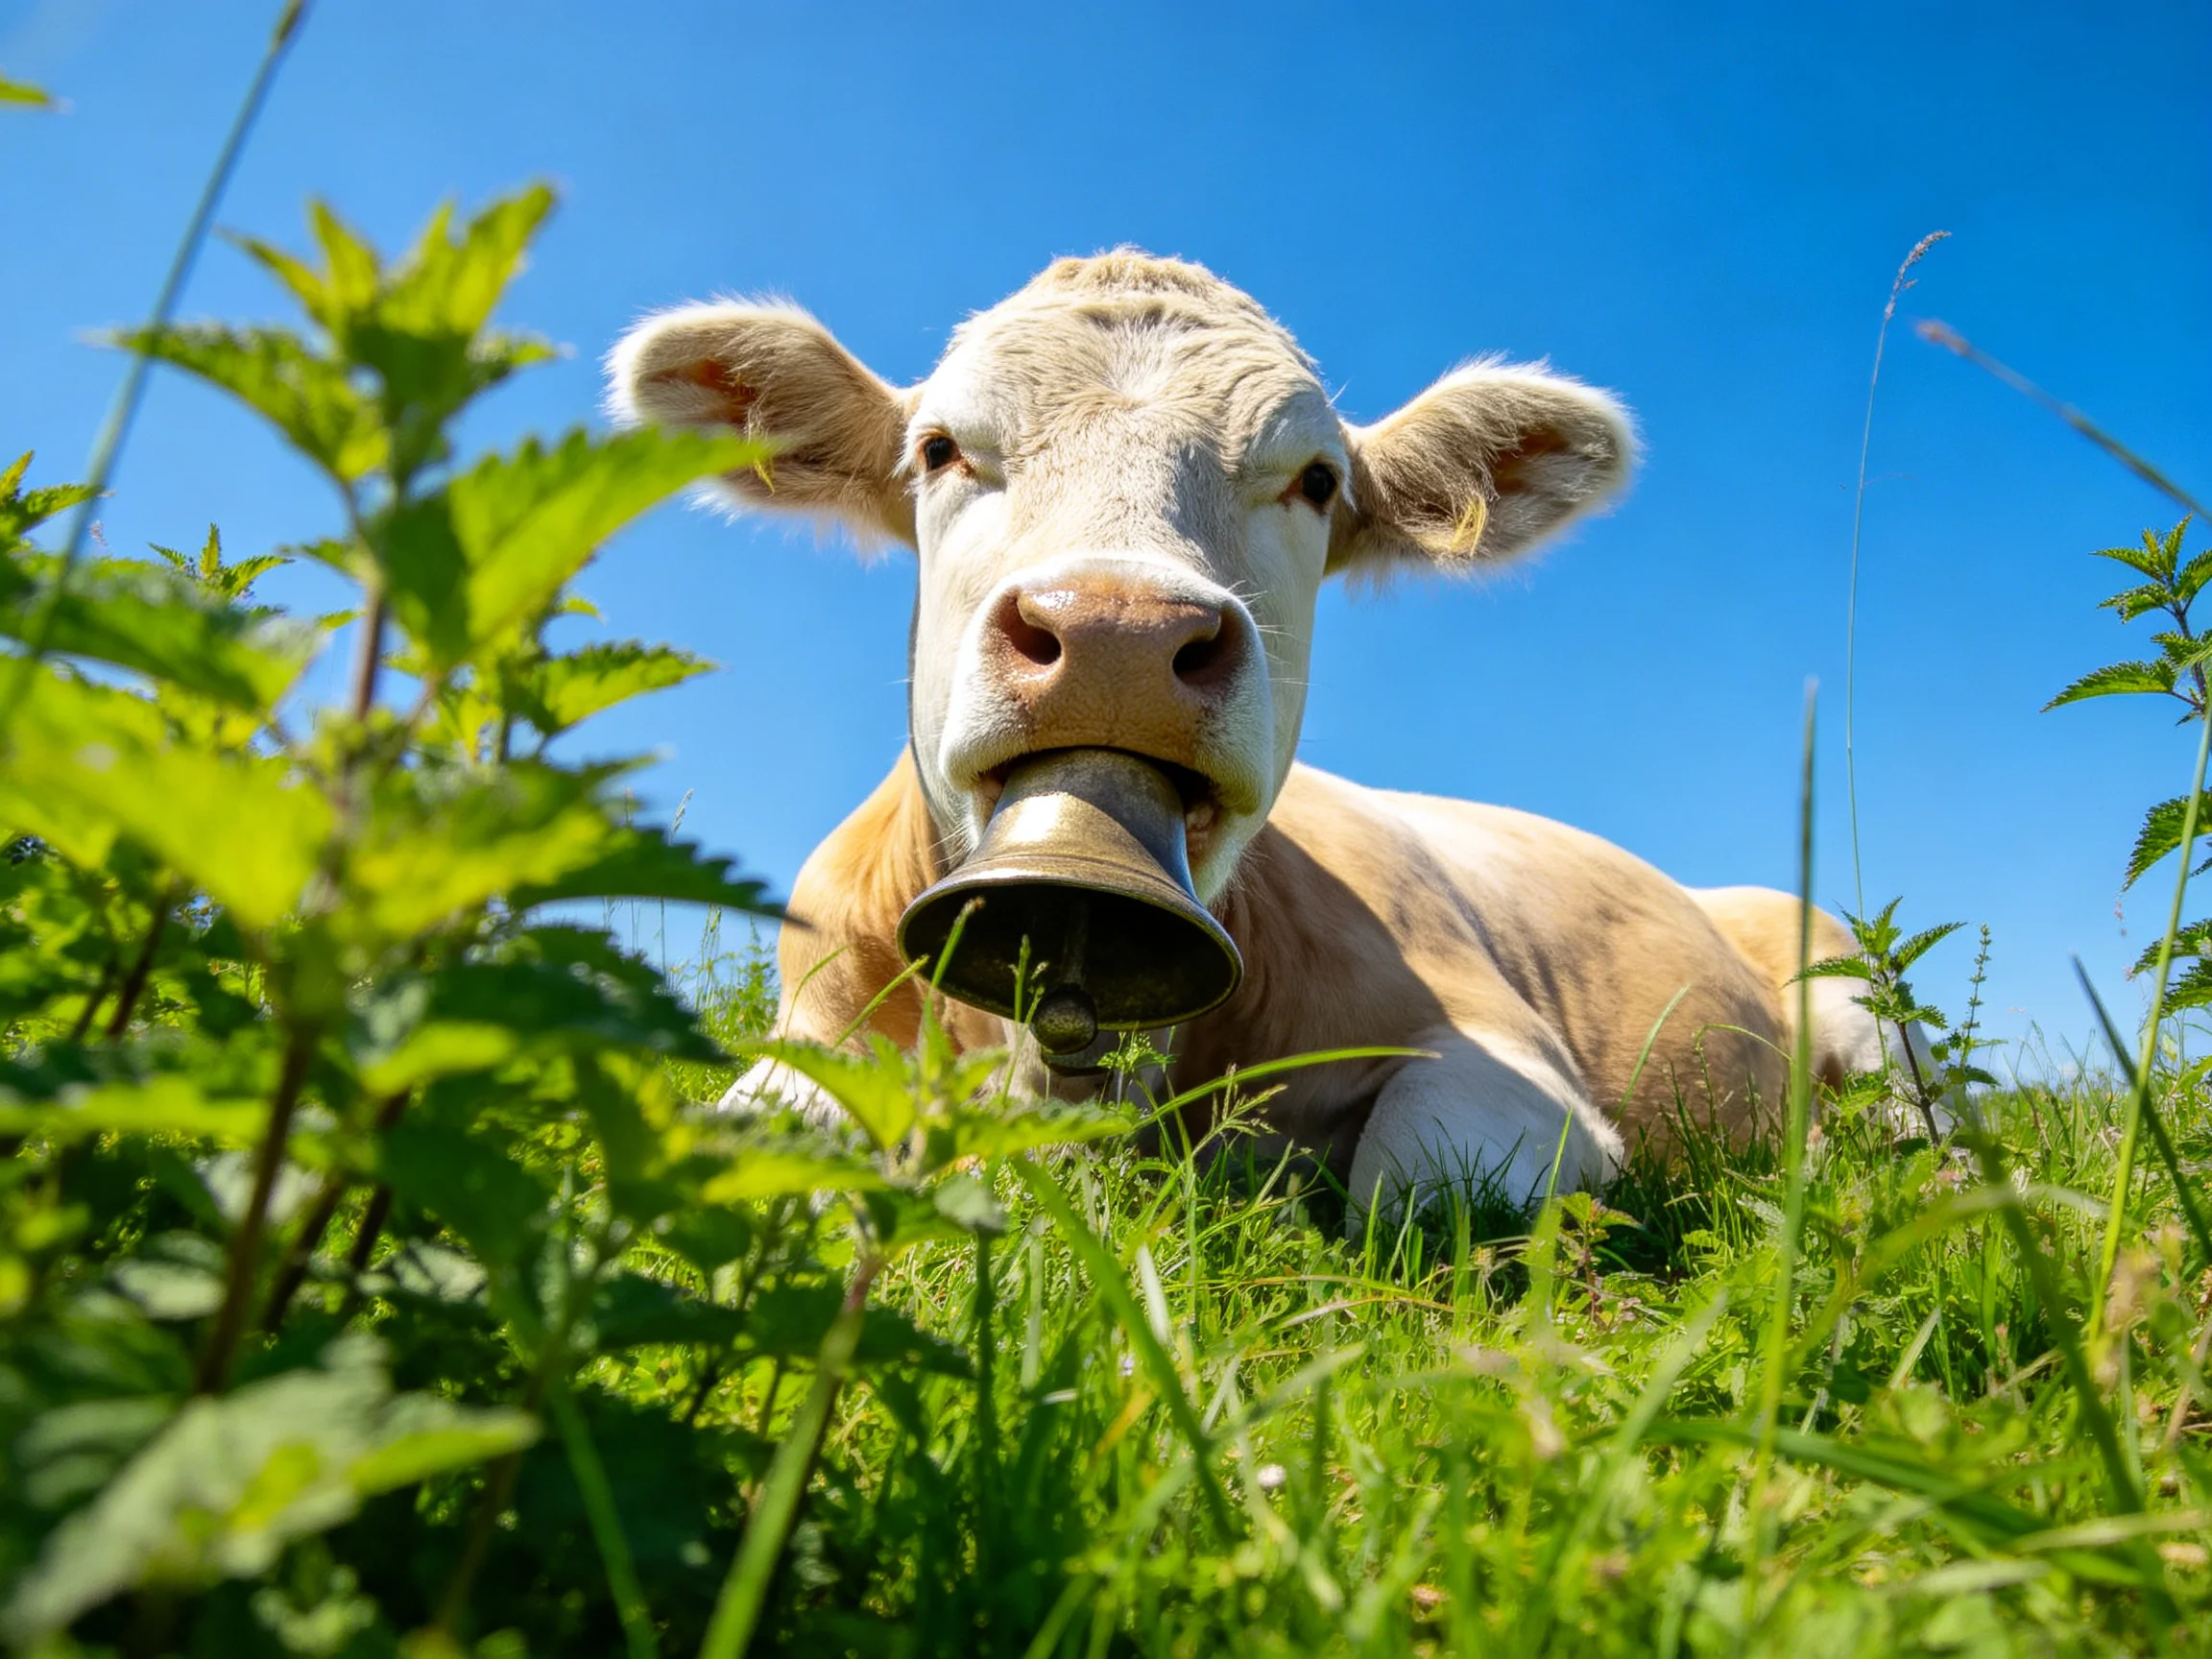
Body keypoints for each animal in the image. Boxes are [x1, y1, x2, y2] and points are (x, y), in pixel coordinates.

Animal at [609, 252, 1902, 1217]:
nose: (1119, 634)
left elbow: (1416, 1185)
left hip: (1868, 1008)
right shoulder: (813, 1031)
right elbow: (742, 1145)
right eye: (939, 450)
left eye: (1318, 481)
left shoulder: (1506, 1054)